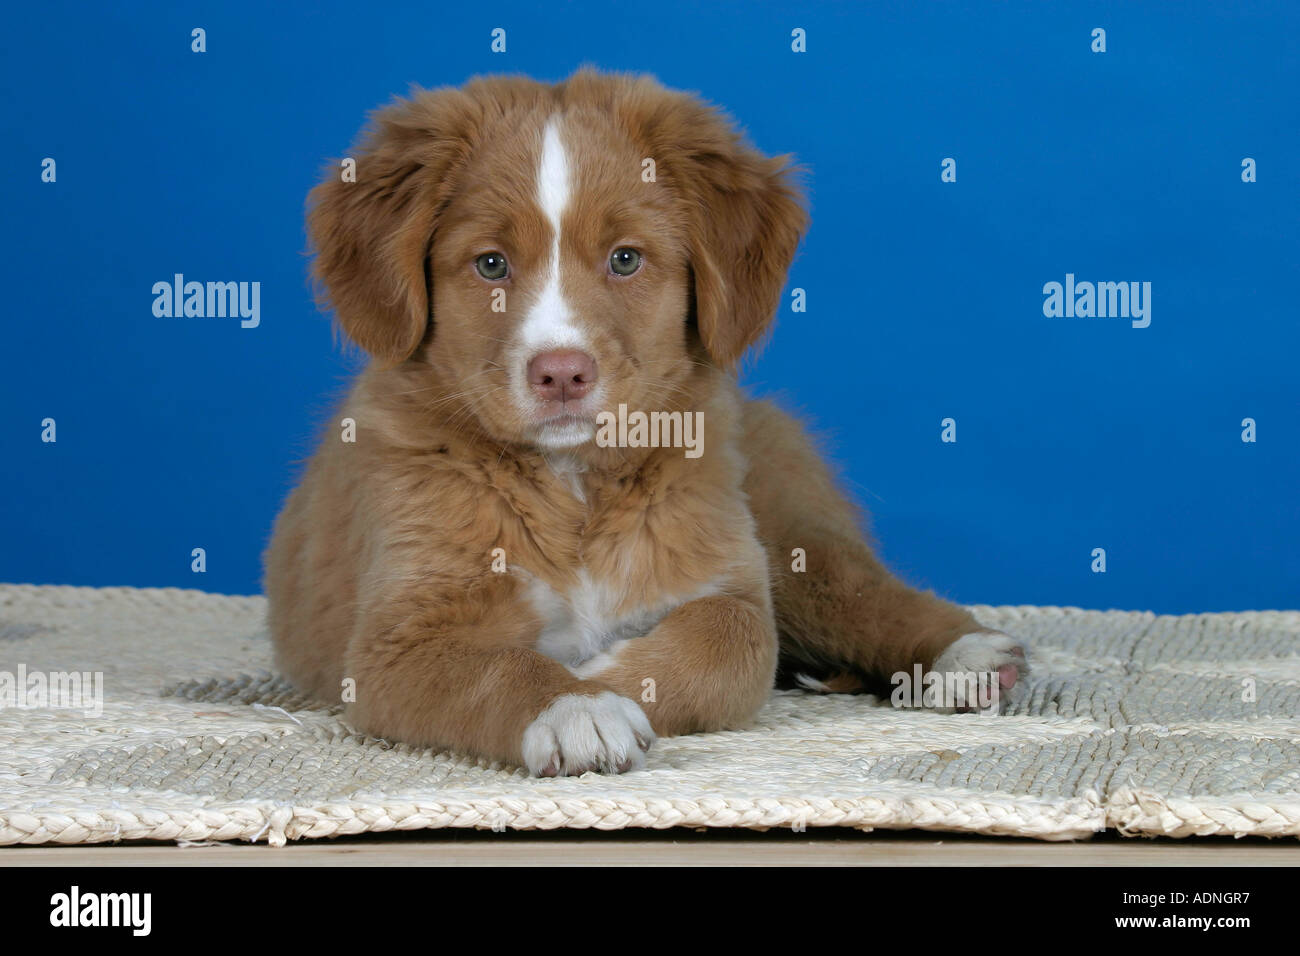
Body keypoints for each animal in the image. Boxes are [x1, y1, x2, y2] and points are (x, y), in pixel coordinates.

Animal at [266, 69, 1024, 780]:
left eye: (625, 258)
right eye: (491, 264)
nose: (562, 373)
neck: (575, 484)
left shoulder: (730, 573)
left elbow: (735, 643)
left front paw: (603, 677)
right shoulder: (395, 638)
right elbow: (494, 667)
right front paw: (574, 705)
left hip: (791, 531)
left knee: (860, 590)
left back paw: (968, 653)